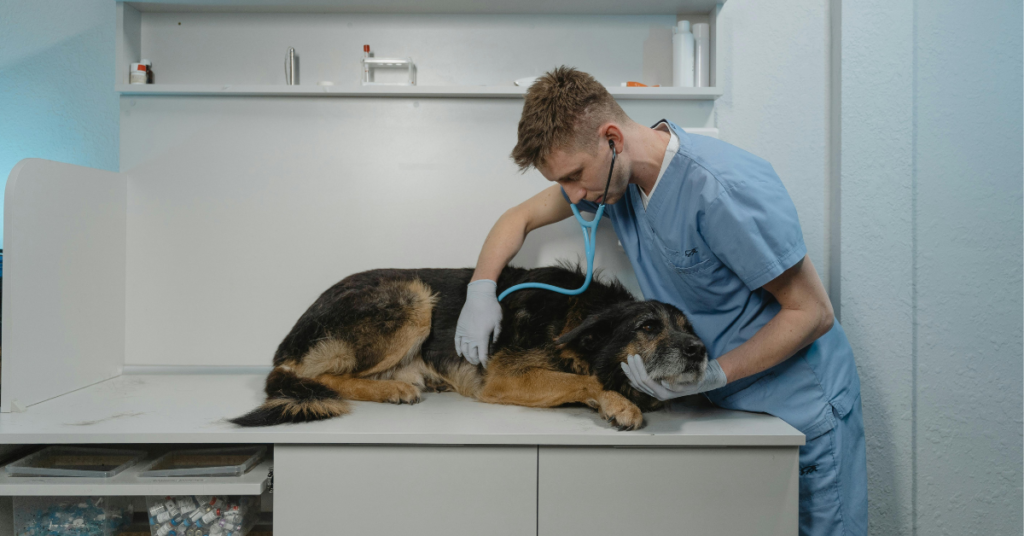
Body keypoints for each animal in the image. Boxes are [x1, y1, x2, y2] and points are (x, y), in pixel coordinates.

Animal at [230, 264, 712, 432]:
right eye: (648, 326)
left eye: (688, 328)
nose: (700, 351)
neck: (578, 315)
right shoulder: (505, 378)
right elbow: (588, 380)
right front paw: (620, 403)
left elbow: (583, 380)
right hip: (413, 295)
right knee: (319, 376)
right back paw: (392, 390)